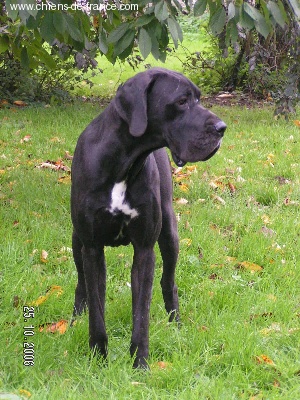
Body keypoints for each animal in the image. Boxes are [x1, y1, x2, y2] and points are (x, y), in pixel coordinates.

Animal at [70, 66, 226, 368]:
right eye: (181, 101)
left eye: (199, 98)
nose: (222, 128)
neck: (123, 161)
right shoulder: (92, 247)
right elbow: (97, 308)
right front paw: (98, 358)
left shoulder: (144, 249)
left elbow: (141, 313)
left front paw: (140, 363)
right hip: (76, 239)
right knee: (83, 283)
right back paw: (75, 316)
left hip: (169, 234)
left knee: (168, 282)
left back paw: (175, 323)